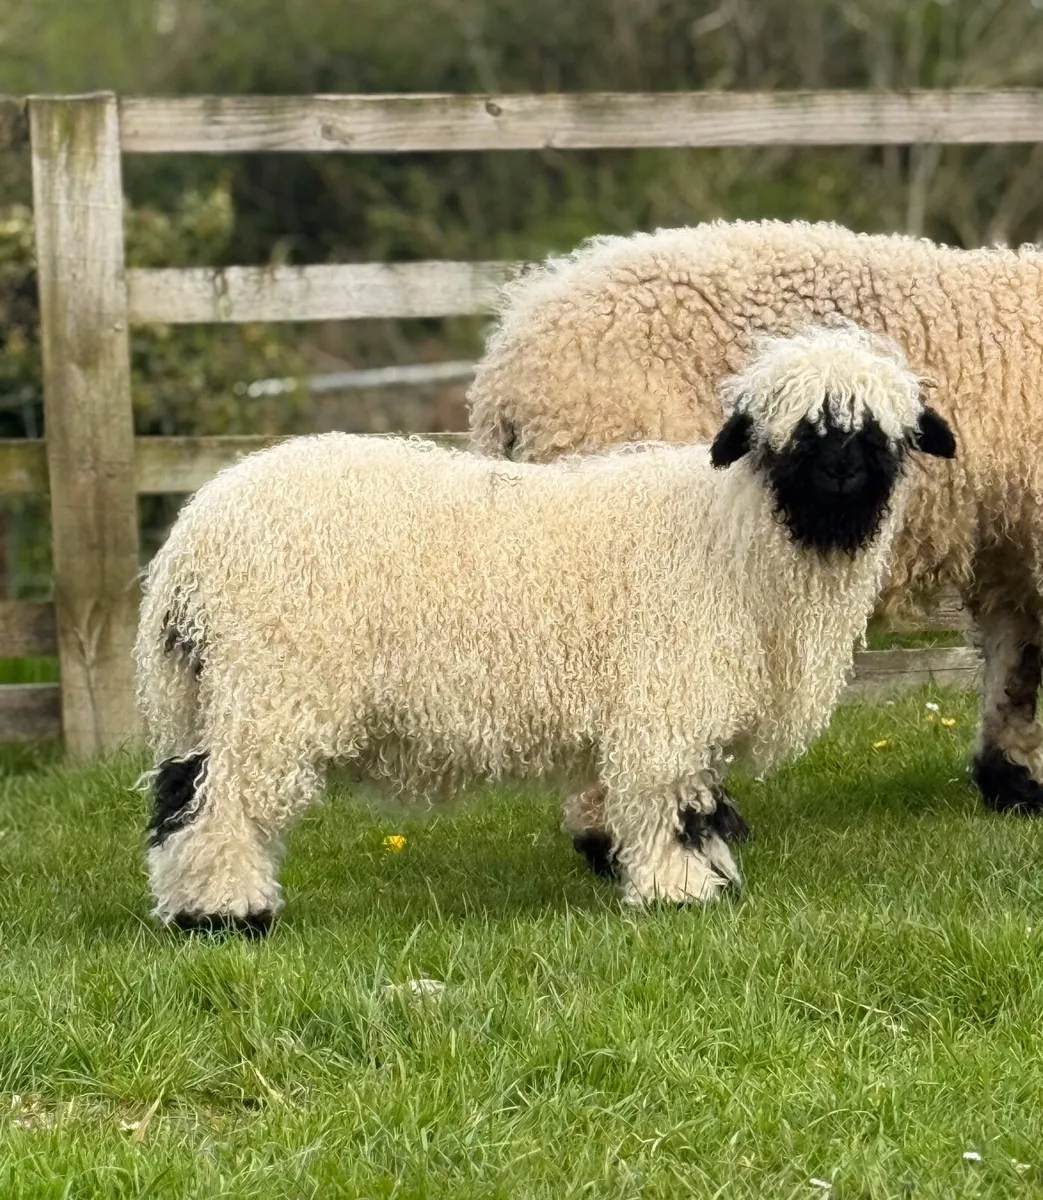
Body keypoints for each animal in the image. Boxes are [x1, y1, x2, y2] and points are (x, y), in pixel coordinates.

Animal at [135, 323, 954, 935]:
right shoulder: (668, 694)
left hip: (217, 692)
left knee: (180, 788)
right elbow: (671, 801)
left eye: (880, 433)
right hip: (271, 686)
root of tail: (191, 541)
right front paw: (681, 891)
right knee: (219, 800)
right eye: (794, 432)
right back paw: (225, 914)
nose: (842, 475)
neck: (740, 539)